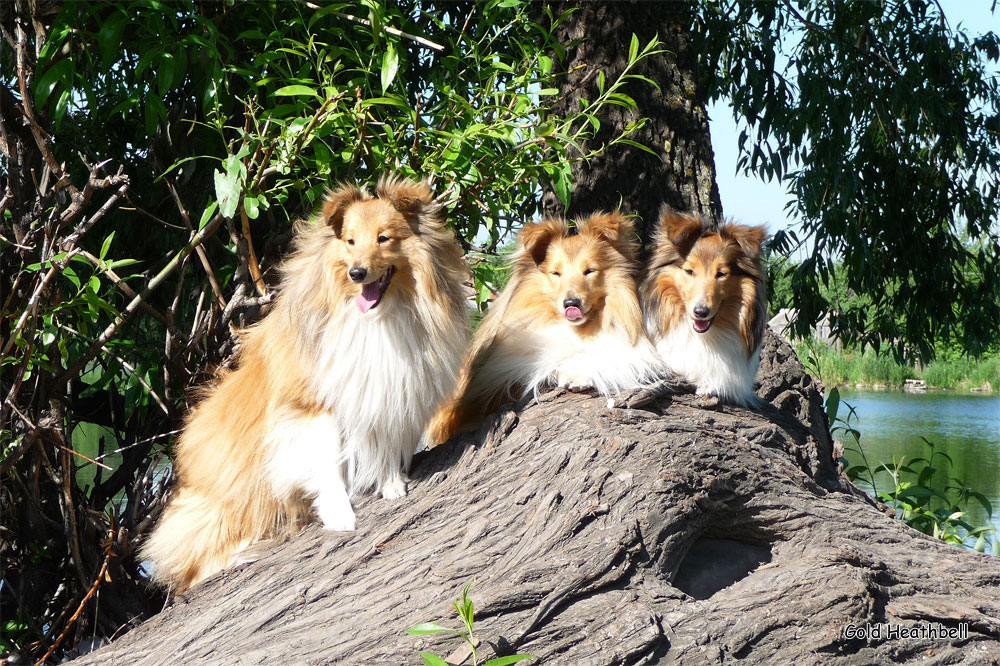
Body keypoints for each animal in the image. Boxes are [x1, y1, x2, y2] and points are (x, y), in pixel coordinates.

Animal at [141, 174, 468, 588]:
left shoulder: (387, 389)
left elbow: (385, 438)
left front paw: (391, 483)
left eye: (383, 238)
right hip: (232, 492)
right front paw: (340, 514)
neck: (378, 319)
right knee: (190, 560)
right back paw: (241, 554)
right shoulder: (309, 407)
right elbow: (328, 462)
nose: (357, 273)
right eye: (350, 241)